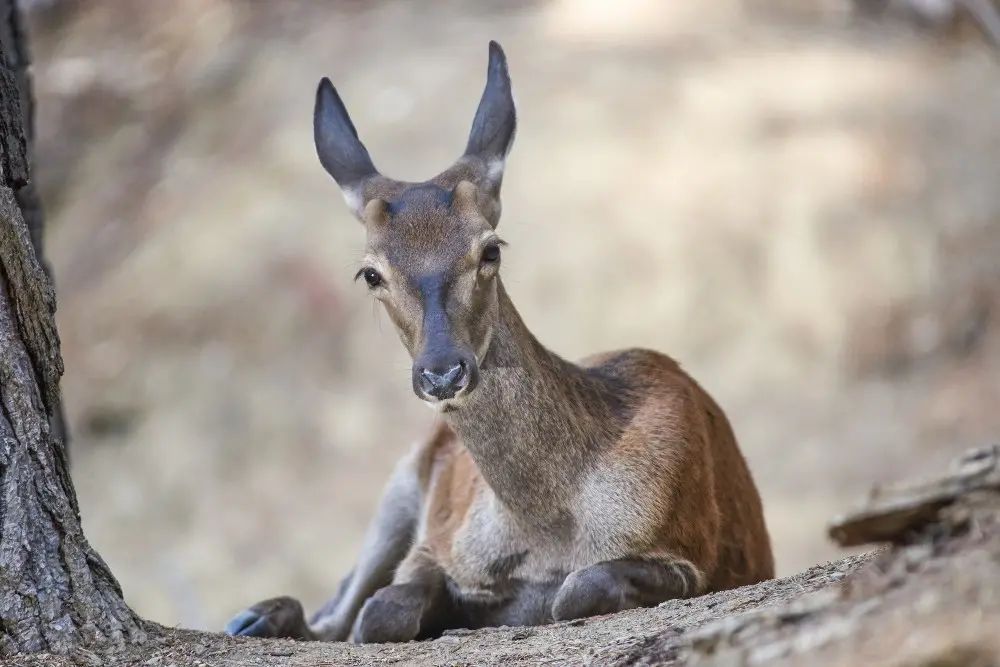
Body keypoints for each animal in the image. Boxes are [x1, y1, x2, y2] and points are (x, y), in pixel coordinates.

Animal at [223, 39, 776, 644]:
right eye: (370, 273)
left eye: (490, 249)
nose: (442, 372)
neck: (546, 525)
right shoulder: (435, 540)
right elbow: (381, 610)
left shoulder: (690, 545)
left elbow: (577, 589)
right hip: (399, 483)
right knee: (341, 607)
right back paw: (252, 616)